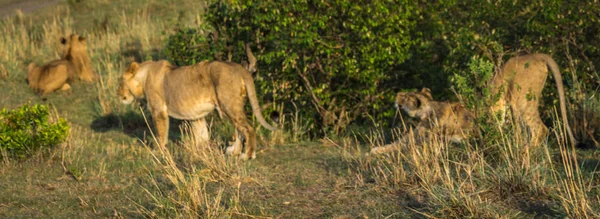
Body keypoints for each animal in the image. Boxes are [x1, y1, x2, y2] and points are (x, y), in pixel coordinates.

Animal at [118, 45, 280, 160]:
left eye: (120, 82)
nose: (118, 94)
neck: (144, 76)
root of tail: (240, 68)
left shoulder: (159, 111)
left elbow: (161, 134)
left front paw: (158, 152)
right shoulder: (196, 115)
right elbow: (201, 134)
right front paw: (202, 152)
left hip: (229, 104)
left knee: (248, 129)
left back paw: (247, 155)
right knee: (239, 130)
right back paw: (234, 152)